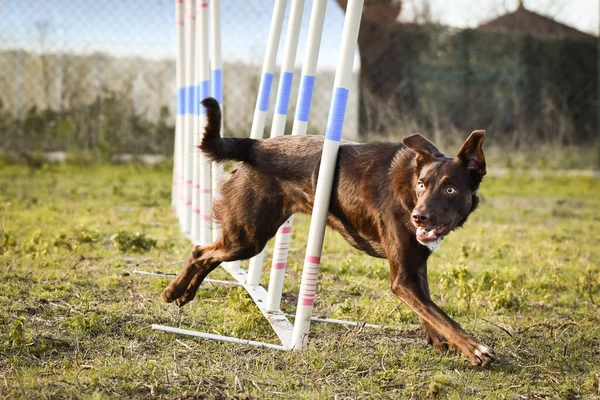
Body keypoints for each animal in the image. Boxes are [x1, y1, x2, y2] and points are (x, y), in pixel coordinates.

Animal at [162, 97, 494, 366]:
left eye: (450, 189)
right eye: (422, 185)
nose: (419, 217)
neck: (409, 191)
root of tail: (256, 144)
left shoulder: (414, 266)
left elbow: (429, 308)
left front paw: (440, 339)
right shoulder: (402, 278)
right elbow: (439, 313)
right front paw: (474, 349)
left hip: (247, 236)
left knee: (208, 253)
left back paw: (184, 294)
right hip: (248, 237)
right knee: (201, 251)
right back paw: (174, 290)